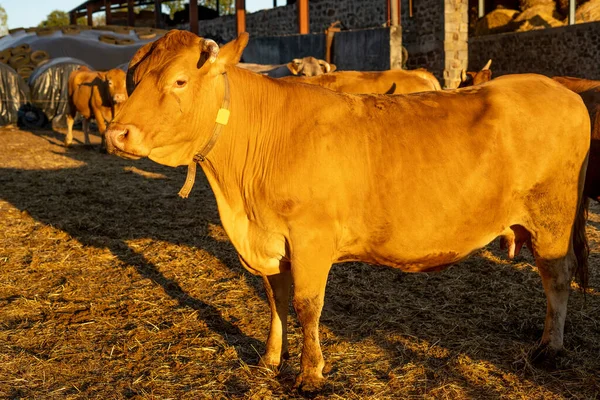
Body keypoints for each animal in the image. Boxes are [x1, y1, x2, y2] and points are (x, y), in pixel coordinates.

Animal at [105, 30, 588, 390]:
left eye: (179, 81)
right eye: (133, 78)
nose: (116, 133)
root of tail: (555, 87)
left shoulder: (311, 239)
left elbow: (306, 305)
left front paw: (311, 373)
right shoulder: (270, 242)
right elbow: (276, 300)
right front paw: (271, 359)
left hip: (552, 220)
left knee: (556, 277)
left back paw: (550, 347)